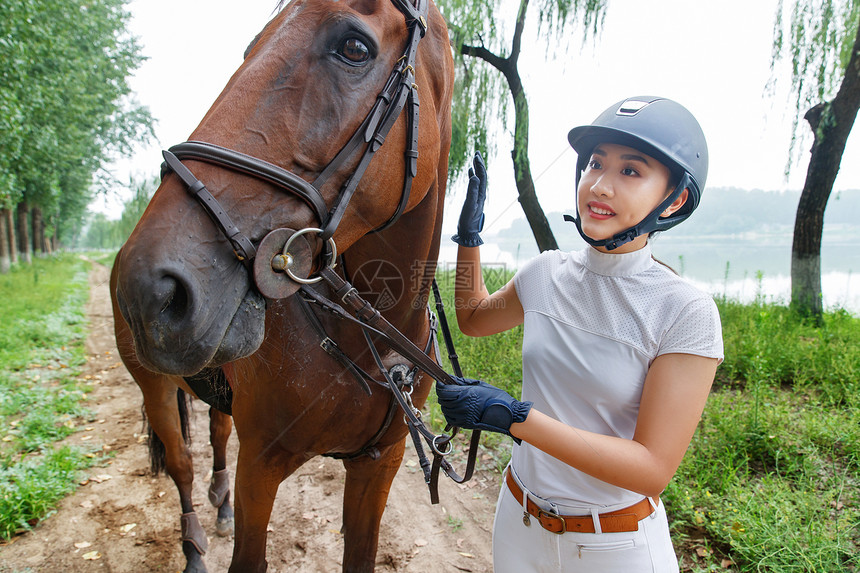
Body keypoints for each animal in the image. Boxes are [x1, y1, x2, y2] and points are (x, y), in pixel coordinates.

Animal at [112, 0, 456, 568]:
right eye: (250, 48)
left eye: (354, 47)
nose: (149, 287)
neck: (368, 343)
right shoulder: (261, 464)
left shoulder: (378, 464)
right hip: (154, 383)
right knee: (181, 463)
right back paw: (194, 546)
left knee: (217, 431)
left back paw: (220, 504)